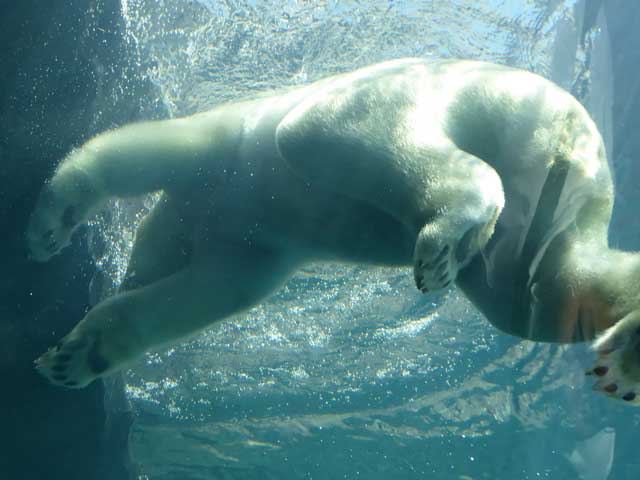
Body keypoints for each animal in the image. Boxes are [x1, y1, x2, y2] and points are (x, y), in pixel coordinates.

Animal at [25, 58, 640, 404]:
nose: (127, 275)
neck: (203, 215)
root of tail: (568, 125)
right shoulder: (250, 248)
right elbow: (204, 293)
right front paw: (75, 357)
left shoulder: (224, 155)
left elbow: (141, 150)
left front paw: (49, 224)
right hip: (556, 207)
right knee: (552, 288)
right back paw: (624, 360)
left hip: (416, 93)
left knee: (324, 131)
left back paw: (447, 234)